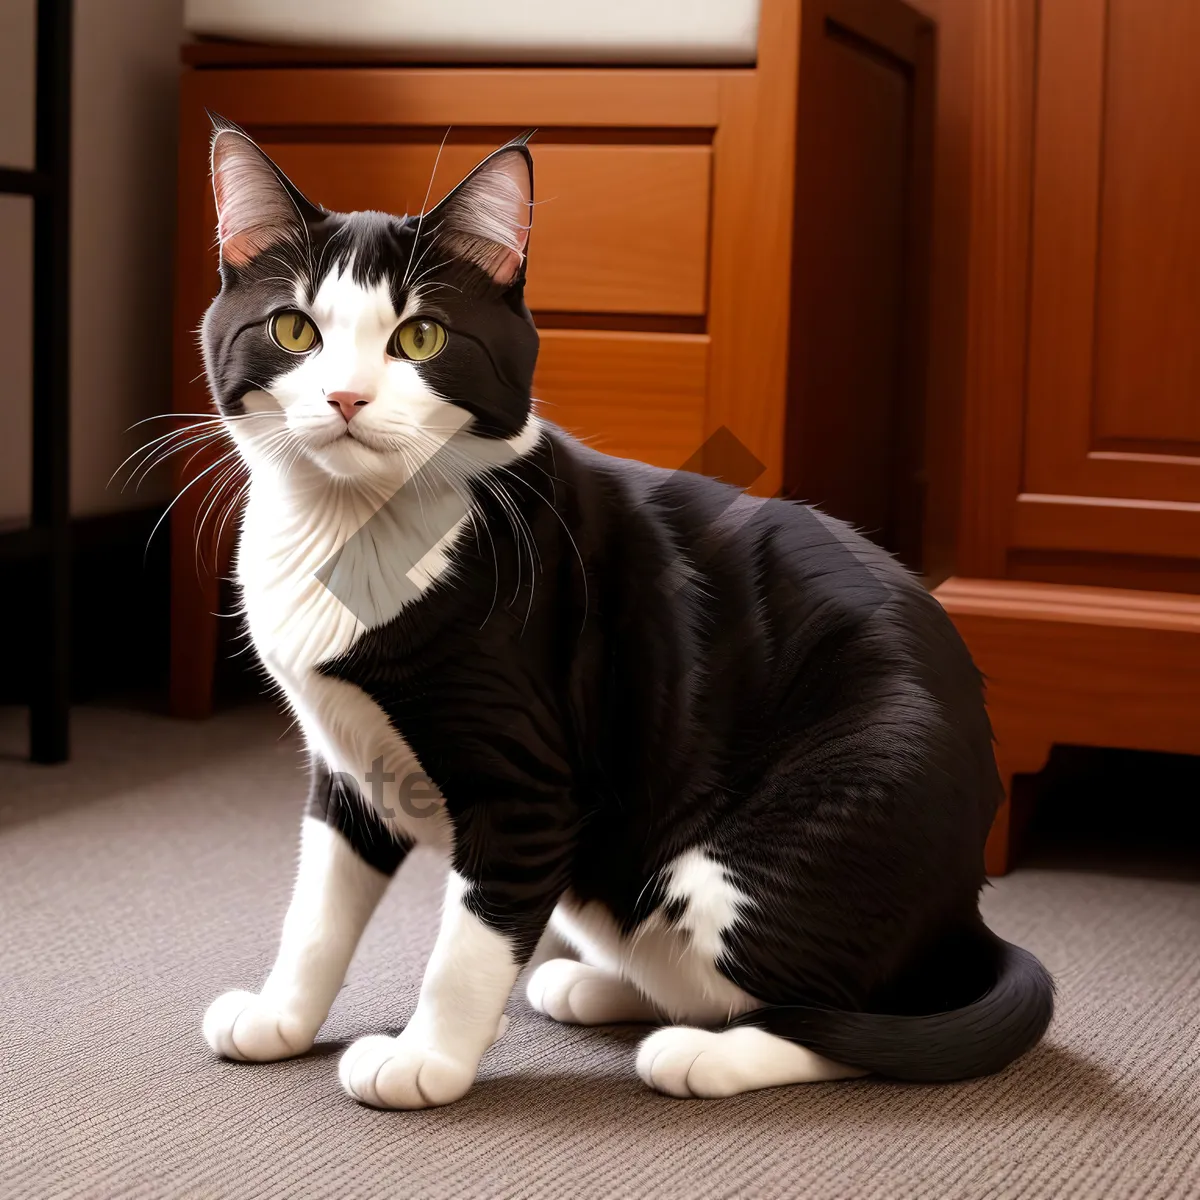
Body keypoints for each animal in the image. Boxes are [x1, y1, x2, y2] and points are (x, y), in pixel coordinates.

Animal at [196, 119, 1051, 1104]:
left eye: (421, 337)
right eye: (294, 329)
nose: (345, 397)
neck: (352, 530)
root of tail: (963, 913)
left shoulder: (529, 791)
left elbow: (468, 946)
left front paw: (427, 1061)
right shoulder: (347, 770)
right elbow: (317, 913)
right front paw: (281, 1018)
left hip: (815, 826)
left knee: (847, 1019)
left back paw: (704, 1052)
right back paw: (592, 986)